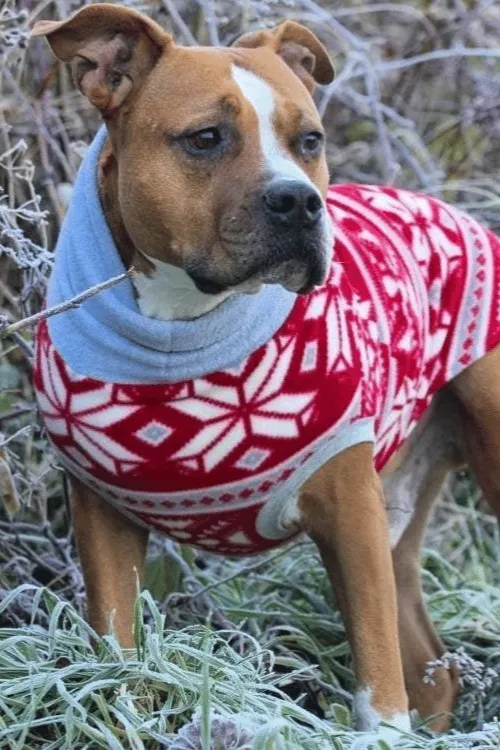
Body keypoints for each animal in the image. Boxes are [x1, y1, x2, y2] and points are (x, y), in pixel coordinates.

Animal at [30, 4, 500, 748]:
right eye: (205, 139)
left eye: (309, 140)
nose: (299, 202)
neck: (180, 331)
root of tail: (453, 211)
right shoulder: (102, 519)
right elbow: (117, 659)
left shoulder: (350, 516)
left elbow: (377, 678)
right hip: (397, 525)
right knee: (432, 669)